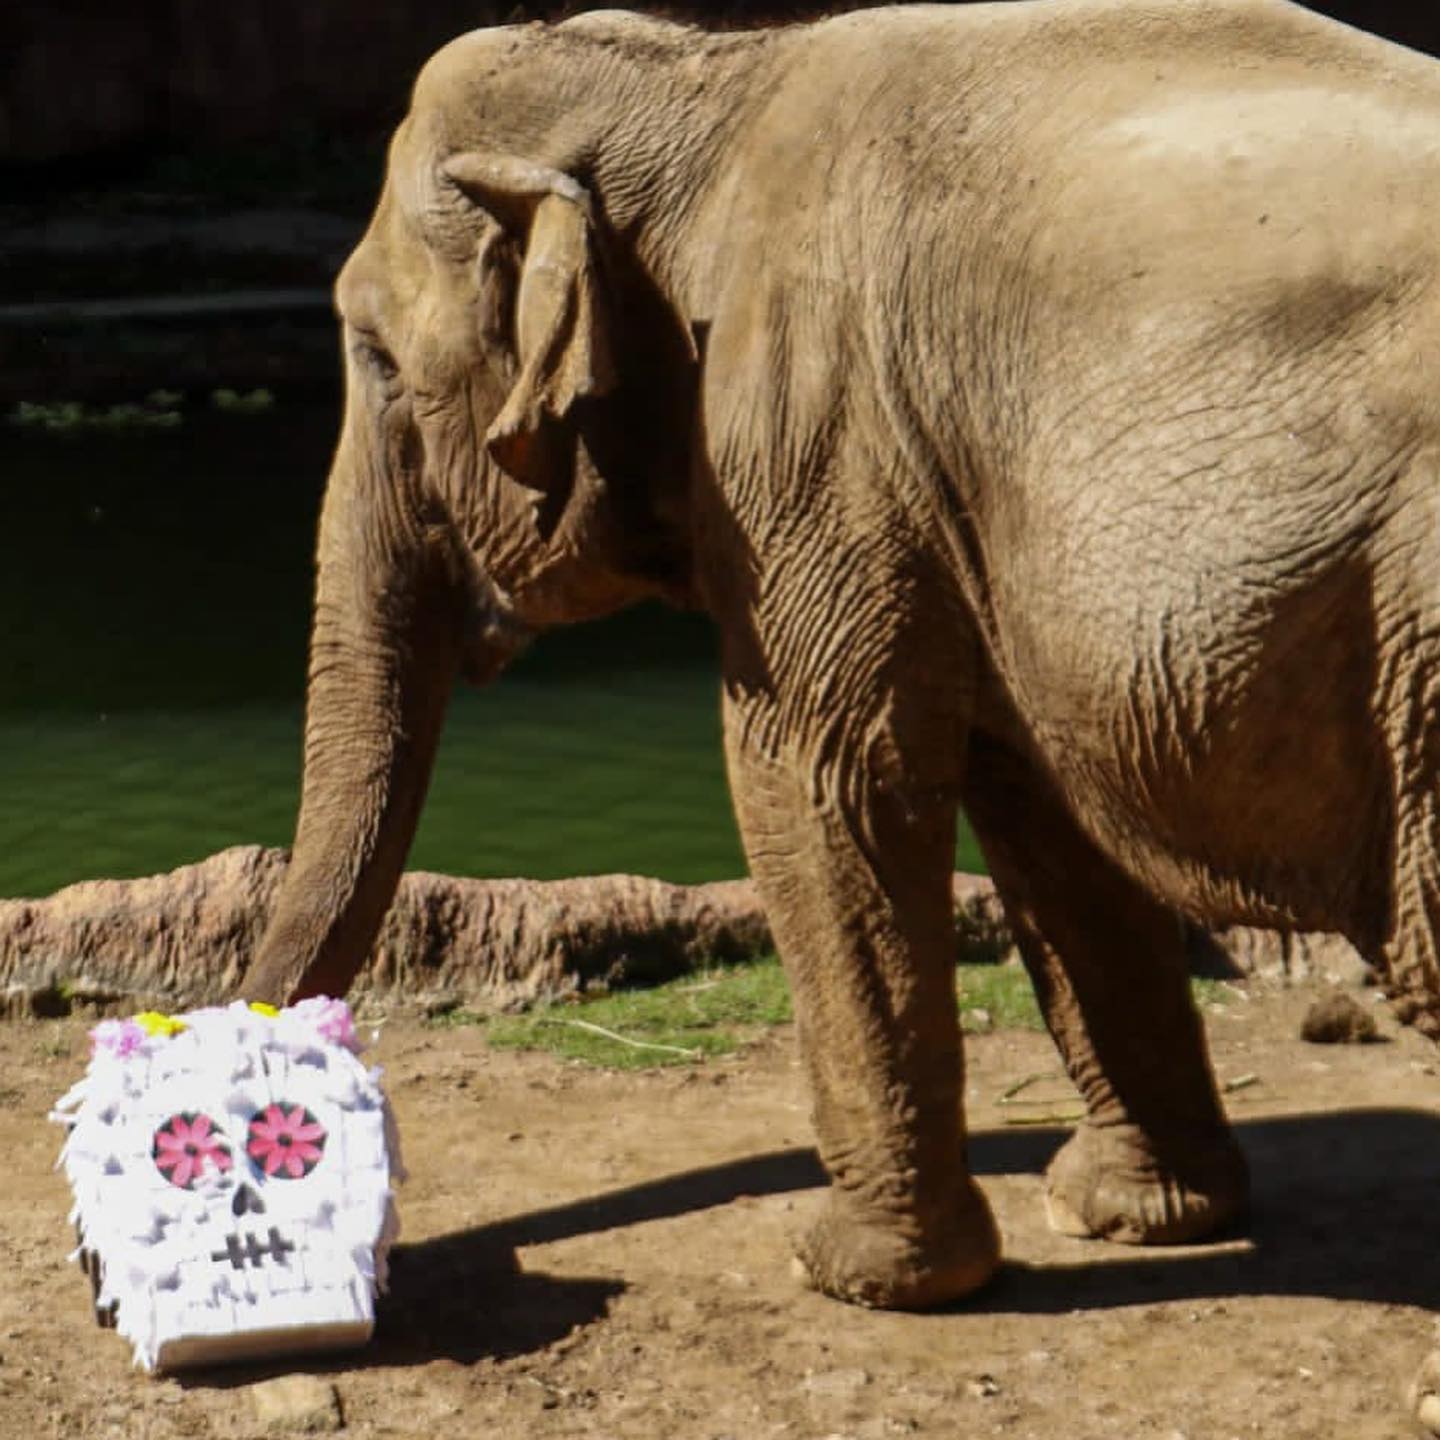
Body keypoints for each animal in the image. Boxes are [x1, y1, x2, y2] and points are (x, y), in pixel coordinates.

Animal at [244, 0, 1440, 1416]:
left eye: (375, 360)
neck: (704, 82)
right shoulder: (951, 494)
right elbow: (1040, 809)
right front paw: (1129, 1217)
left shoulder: (811, 434)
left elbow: (813, 775)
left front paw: (849, 1274)